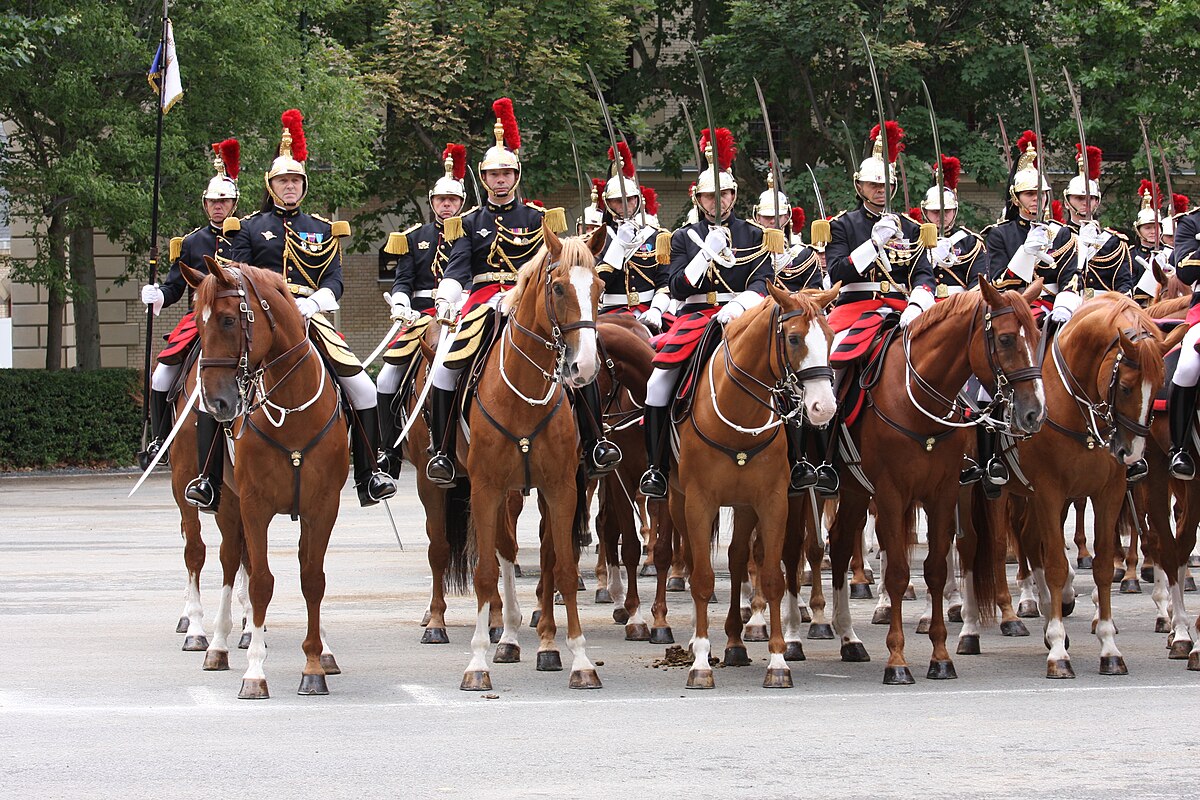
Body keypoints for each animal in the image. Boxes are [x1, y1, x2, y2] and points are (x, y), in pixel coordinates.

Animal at [182, 262, 350, 700]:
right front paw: (255, 671)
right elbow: (260, 581)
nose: (217, 403)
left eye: (227, 319)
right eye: (197, 324)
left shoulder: (321, 506)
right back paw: (216, 643)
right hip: (222, 502)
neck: (292, 411)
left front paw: (314, 664)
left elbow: (313, 578)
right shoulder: (253, 505)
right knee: (224, 561)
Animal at [667, 283, 844, 690]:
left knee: (736, 560)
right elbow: (702, 577)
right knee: (693, 558)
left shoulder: (773, 501)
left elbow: (772, 577)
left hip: (745, 505)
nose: (823, 408)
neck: (738, 415)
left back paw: (735, 642)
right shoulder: (699, 501)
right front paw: (700, 663)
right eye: (793, 339)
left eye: (830, 337)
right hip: (677, 501)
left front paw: (778, 661)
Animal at [830, 278, 1046, 686]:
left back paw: (848, 639)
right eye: (1006, 338)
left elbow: (936, 567)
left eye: (1038, 336)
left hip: (853, 489)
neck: (915, 397)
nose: (1035, 413)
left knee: (836, 545)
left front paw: (941, 656)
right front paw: (897, 660)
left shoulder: (943, 492)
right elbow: (899, 571)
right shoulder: (891, 494)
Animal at [988, 293, 1176, 676]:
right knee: (998, 547)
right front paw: (1059, 652)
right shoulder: (1049, 492)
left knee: (1028, 539)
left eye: (1159, 386)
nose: (1131, 454)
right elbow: (1057, 565)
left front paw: (1108, 646)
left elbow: (1103, 566)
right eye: (1125, 387)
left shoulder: (1109, 493)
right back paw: (1001, 618)